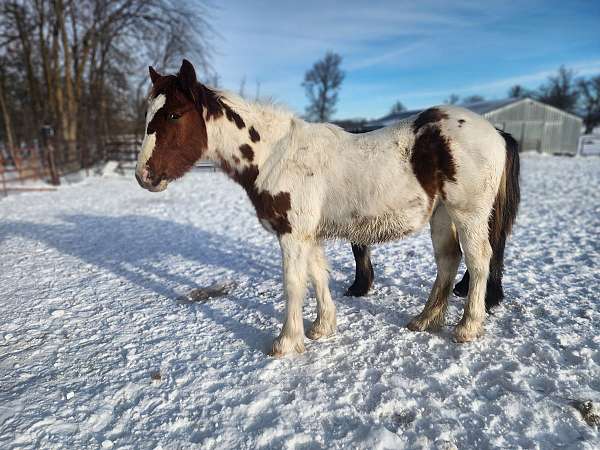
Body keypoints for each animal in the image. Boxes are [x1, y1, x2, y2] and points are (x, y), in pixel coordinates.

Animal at [136, 59, 520, 356]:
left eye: (174, 114)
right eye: (148, 114)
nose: (144, 176)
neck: (276, 155)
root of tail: (496, 132)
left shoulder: (292, 234)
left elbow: (293, 283)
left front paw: (286, 343)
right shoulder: (310, 234)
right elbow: (318, 275)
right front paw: (322, 328)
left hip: (468, 215)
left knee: (479, 260)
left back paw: (467, 327)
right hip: (441, 216)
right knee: (448, 260)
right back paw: (425, 320)